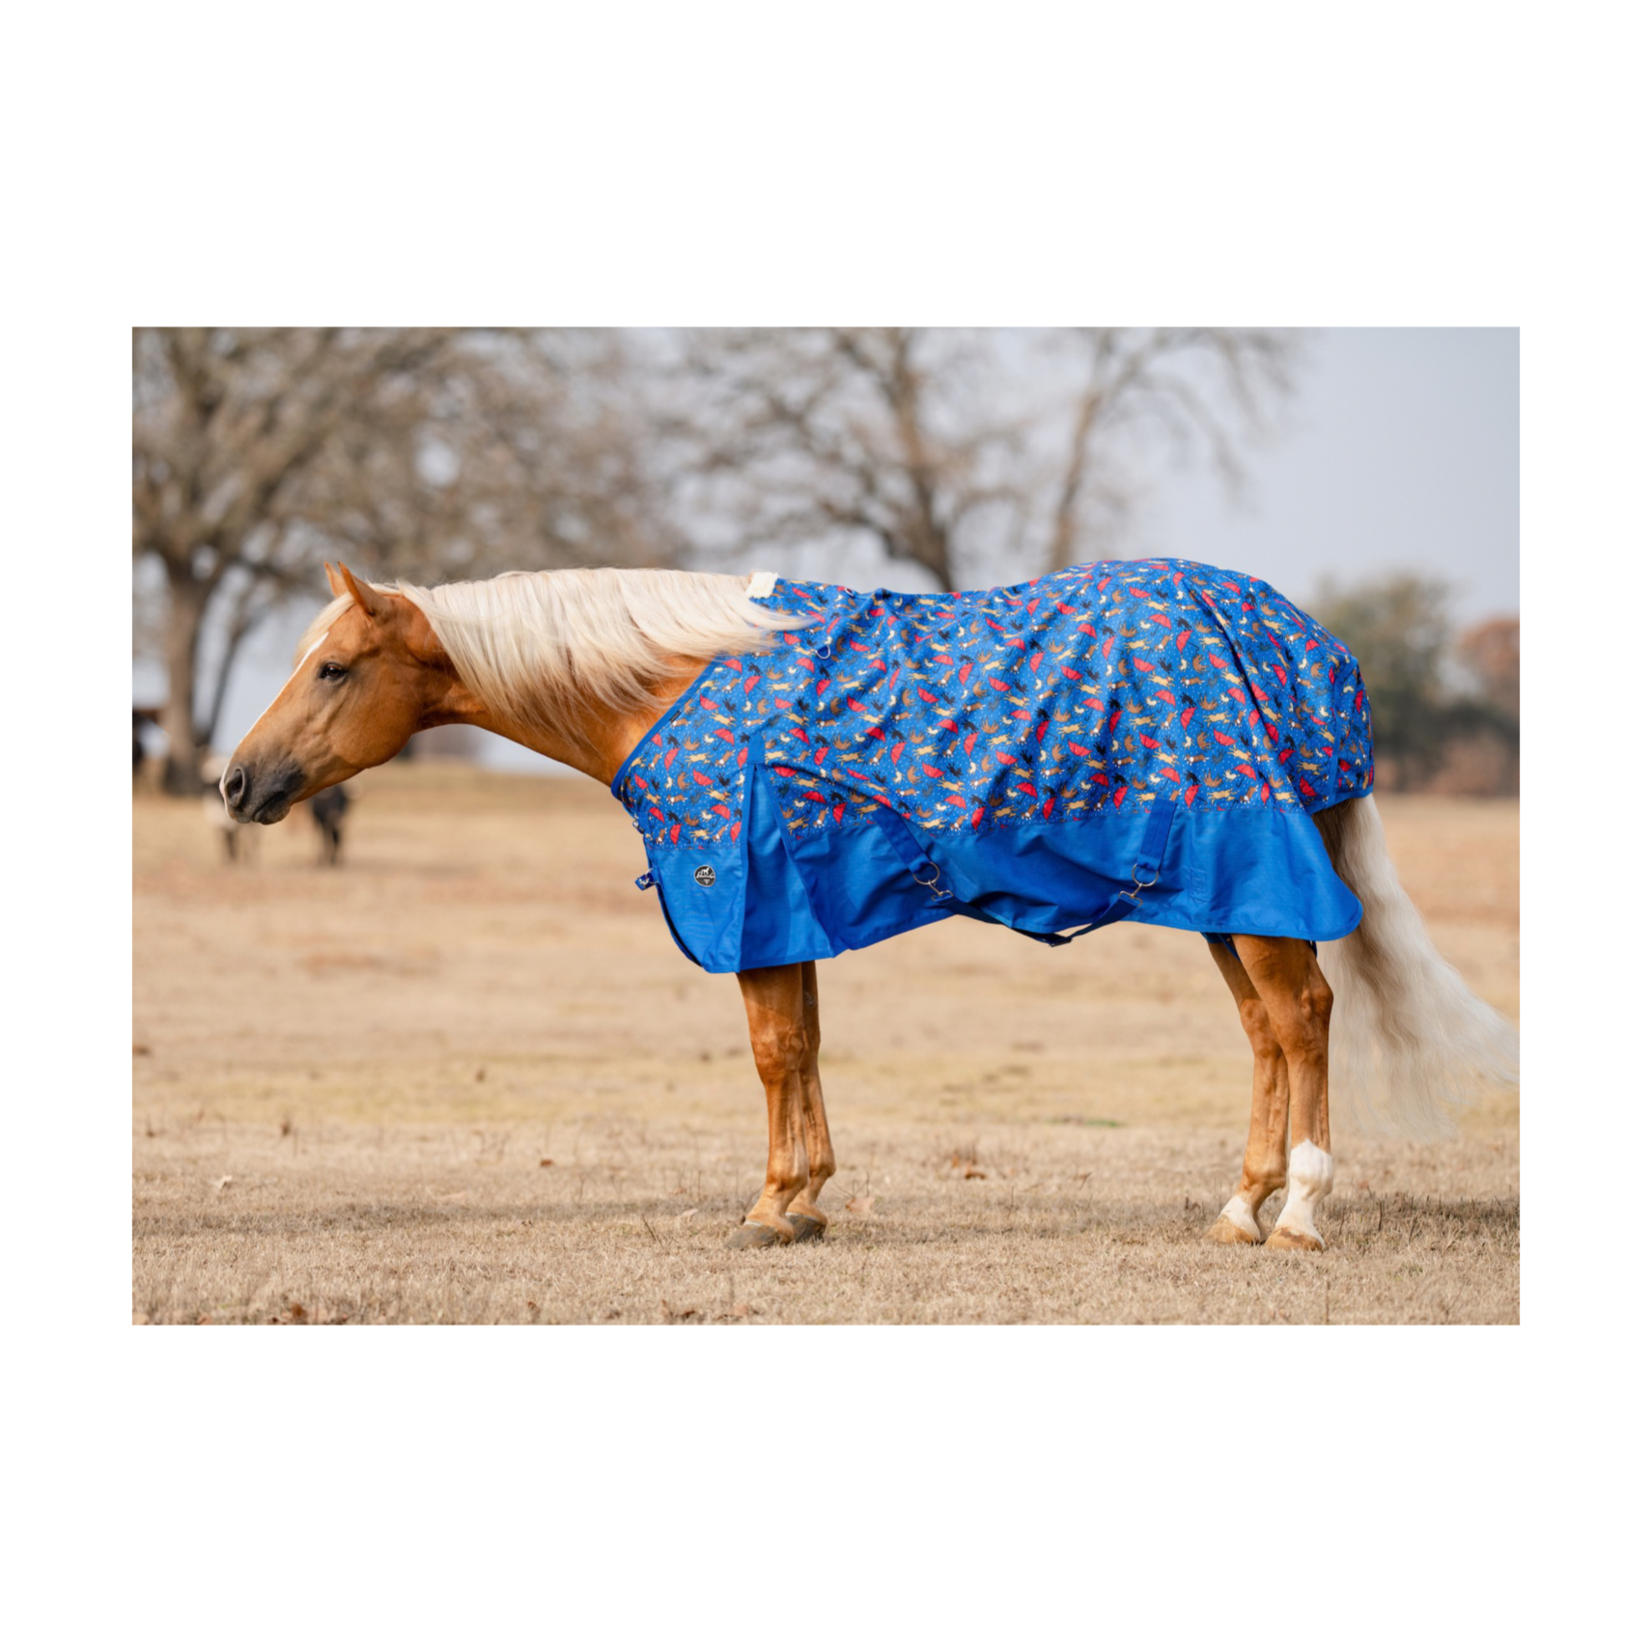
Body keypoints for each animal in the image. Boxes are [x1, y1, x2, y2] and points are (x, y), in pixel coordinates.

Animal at [223, 560, 1516, 1252]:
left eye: (331, 666)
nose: (235, 782)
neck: (675, 682)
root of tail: (1306, 644)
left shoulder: (746, 900)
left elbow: (768, 1049)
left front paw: (767, 1207)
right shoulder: (788, 906)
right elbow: (799, 1045)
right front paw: (804, 1199)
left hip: (1252, 879)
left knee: (1301, 1018)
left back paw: (1297, 1211)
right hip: (1214, 893)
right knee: (1262, 1030)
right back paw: (1238, 1207)